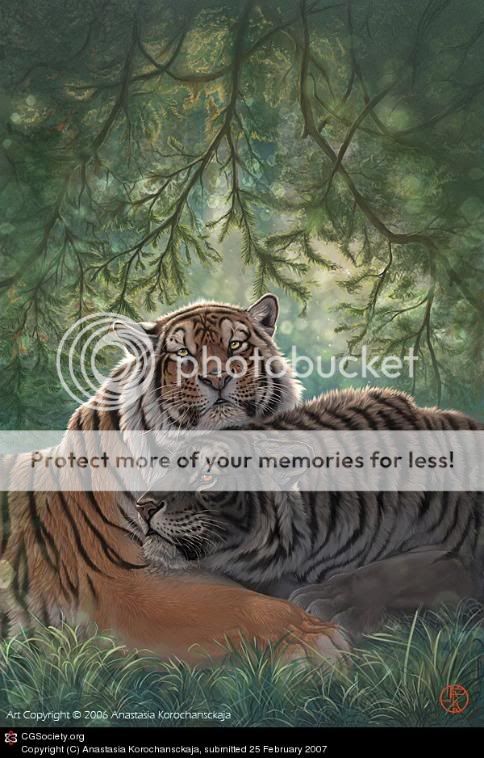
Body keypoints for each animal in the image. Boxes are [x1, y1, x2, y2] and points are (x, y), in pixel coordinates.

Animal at [0, 294, 347, 664]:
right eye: (183, 354)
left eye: (235, 345)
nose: (218, 378)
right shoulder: (123, 585)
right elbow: (237, 606)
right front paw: (317, 639)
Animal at [137, 386, 484, 639]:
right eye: (168, 465)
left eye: (207, 474)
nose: (143, 505)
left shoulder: (461, 563)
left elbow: (392, 570)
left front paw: (329, 601)